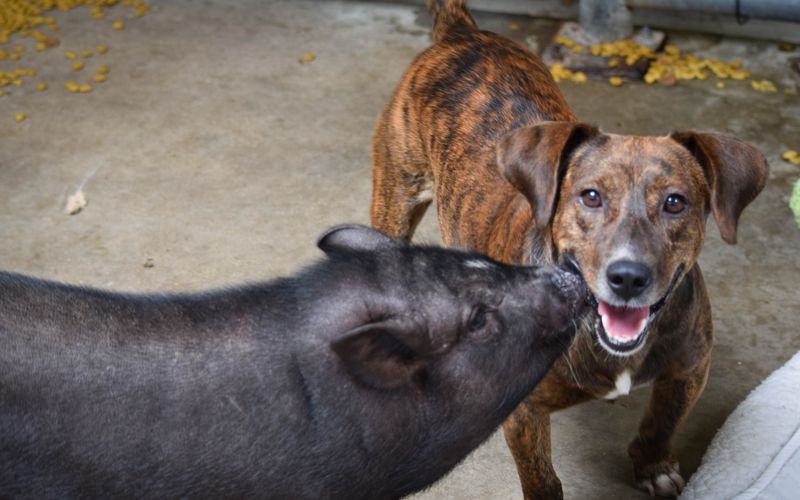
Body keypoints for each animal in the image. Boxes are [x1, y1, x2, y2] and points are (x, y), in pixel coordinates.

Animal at [368, 1, 768, 498]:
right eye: (590, 196)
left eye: (675, 202)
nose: (628, 278)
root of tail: (462, 33)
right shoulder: (524, 413)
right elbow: (542, 477)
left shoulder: (691, 368)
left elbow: (663, 422)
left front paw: (654, 465)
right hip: (396, 195)